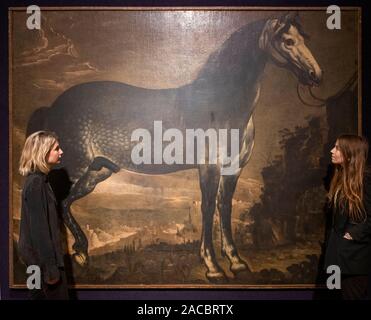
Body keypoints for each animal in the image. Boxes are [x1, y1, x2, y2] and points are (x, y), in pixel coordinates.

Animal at [26, 12, 322, 282]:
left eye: (304, 38)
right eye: (287, 40)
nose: (315, 75)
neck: (221, 103)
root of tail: (54, 107)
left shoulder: (233, 170)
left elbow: (224, 208)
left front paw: (237, 262)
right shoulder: (209, 168)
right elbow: (207, 209)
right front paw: (213, 267)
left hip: (97, 172)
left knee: (64, 204)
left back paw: (81, 253)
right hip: (74, 169)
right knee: (56, 202)